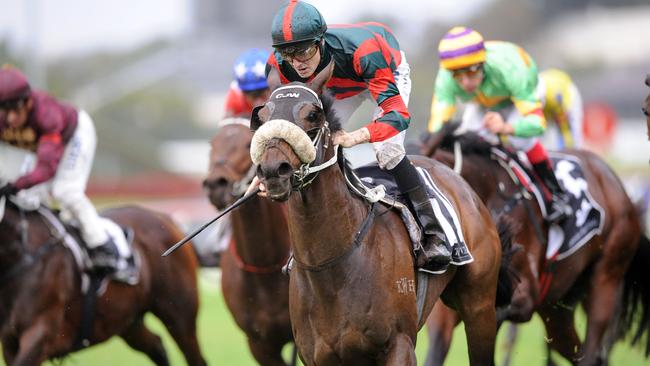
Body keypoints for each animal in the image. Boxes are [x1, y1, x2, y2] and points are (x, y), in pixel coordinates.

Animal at [0, 200, 205, 366]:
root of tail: (164, 217)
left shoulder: (40, 335)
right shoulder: (10, 342)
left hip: (179, 318)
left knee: (194, 357)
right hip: (128, 321)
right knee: (157, 346)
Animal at [248, 64, 512, 364]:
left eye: (312, 115)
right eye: (262, 117)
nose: (273, 170)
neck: (330, 267)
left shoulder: (399, 345)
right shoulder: (316, 355)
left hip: (479, 306)